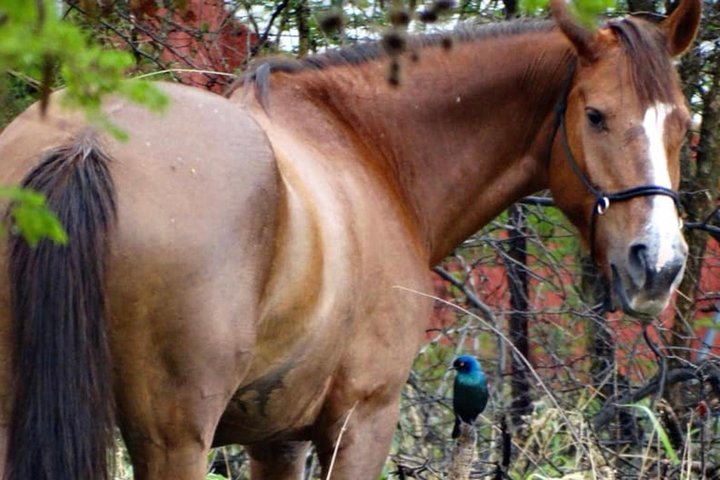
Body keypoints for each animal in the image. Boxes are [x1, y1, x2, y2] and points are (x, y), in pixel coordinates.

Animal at [0, 0, 701, 478]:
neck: (368, 147)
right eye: (595, 115)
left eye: (684, 123)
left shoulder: (276, 437)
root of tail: (85, 143)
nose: (659, 267)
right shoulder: (362, 421)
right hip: (172, 441)